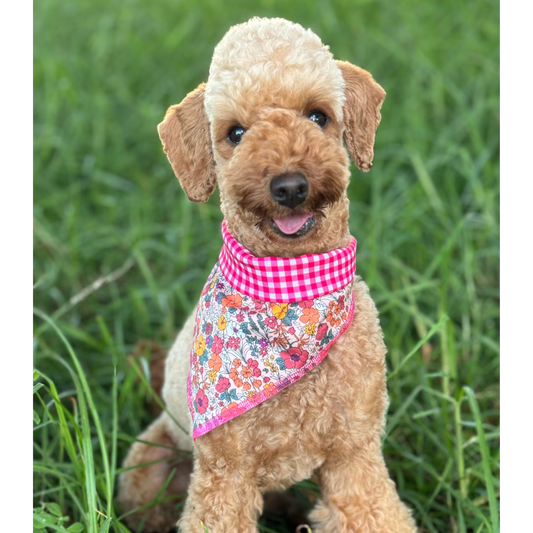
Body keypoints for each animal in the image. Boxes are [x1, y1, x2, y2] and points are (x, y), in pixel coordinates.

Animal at [118, 16, 418, 532]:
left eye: (318, 116)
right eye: (235, 132)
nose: (290, 186)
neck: (290, 292)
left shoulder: (355, 453)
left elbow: (374, 511)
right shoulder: (225, 475)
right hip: (149, 465)